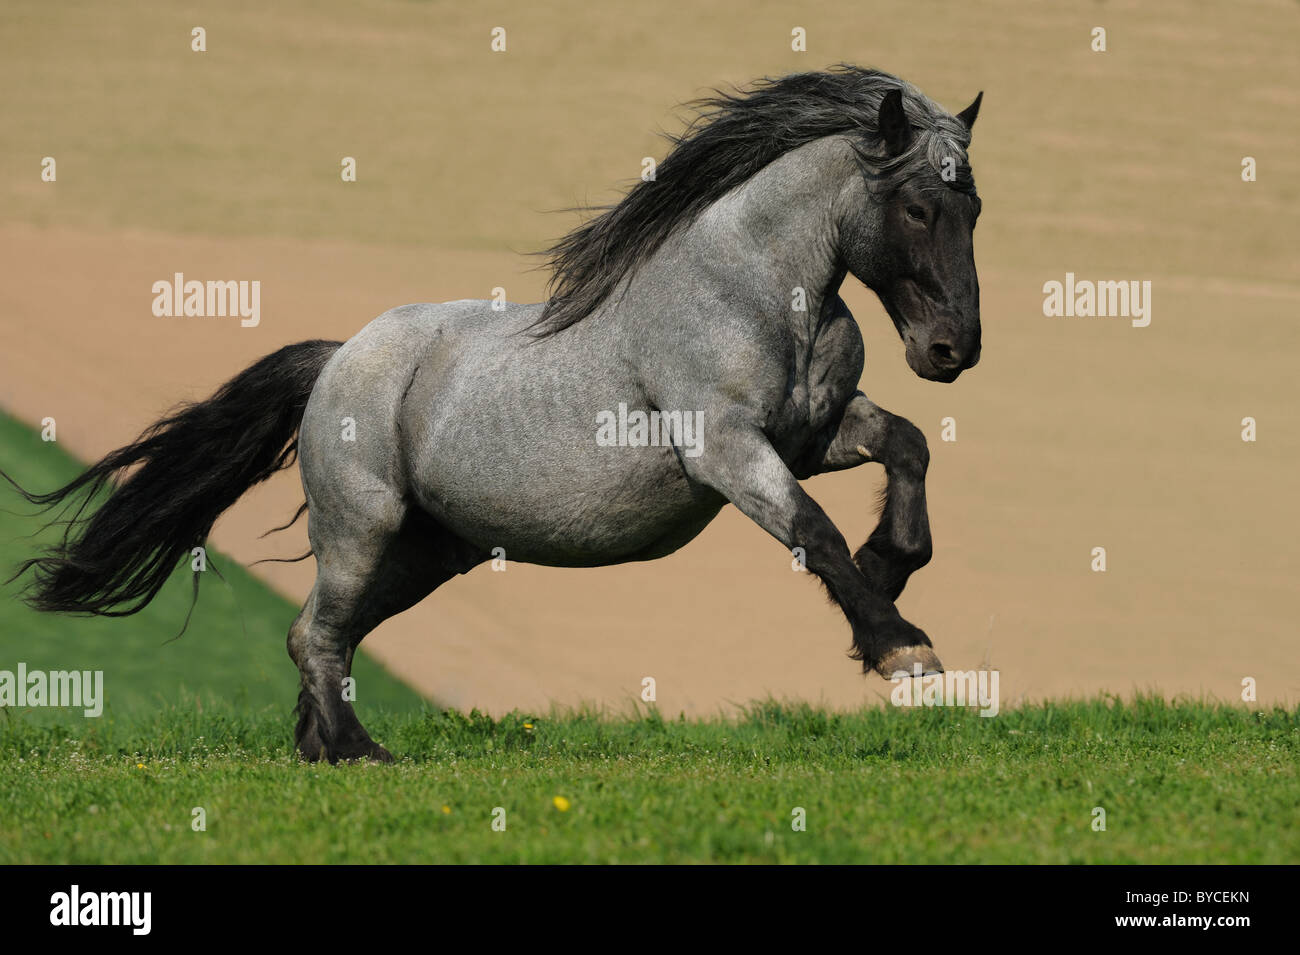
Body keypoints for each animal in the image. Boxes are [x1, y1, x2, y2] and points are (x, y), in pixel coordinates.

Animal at [5, 66, 983, 762]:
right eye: (917, 205)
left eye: (973, 207)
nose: (952, 350)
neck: (755, 291)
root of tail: (337, 359)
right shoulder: (729, 451)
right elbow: (815, 531)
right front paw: (904, 651)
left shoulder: (810, 436)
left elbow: (907, 446)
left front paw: (892, 566)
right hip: (362, 527)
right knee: (316, 631)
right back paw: (358, 752)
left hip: (431, 550)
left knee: (319, 631)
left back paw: (318, 748)